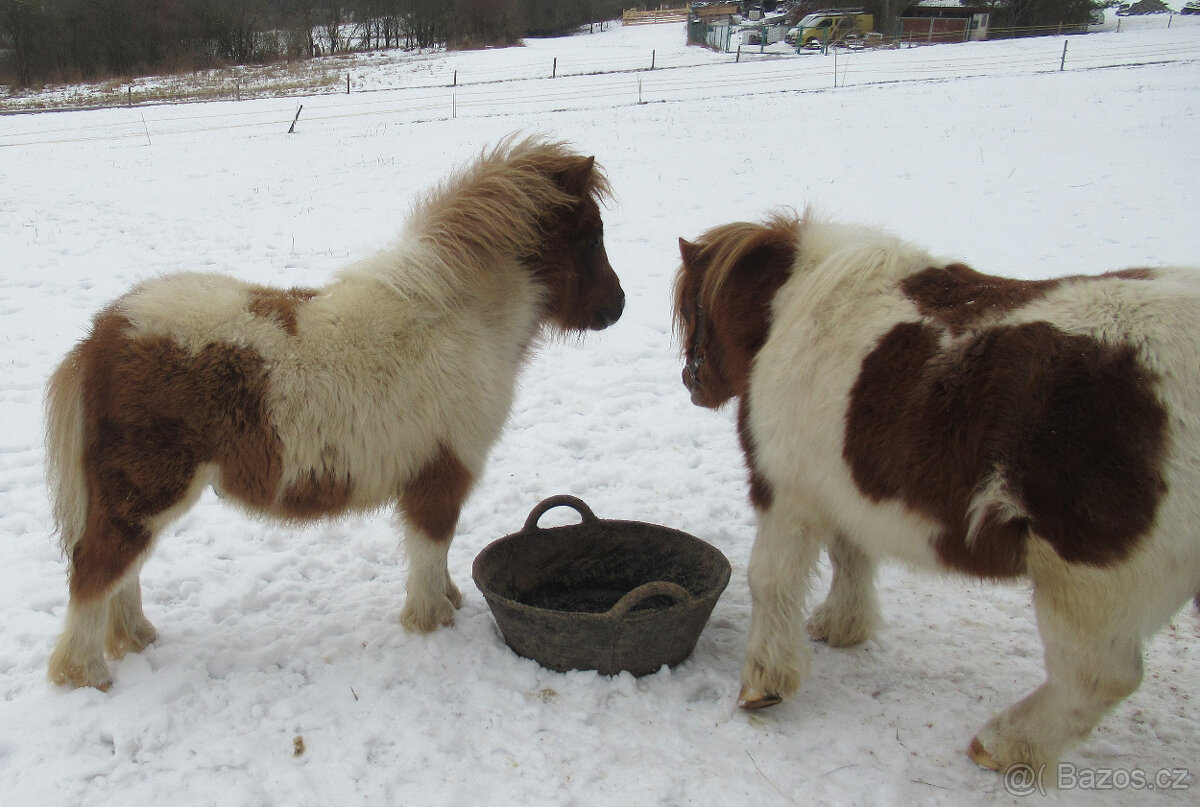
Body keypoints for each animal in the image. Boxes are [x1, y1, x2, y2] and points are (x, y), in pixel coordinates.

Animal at [44, 135, 625, 691]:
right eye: (592, 235)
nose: (616, 307)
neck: (465, 320)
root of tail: (103, 334)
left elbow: (436, 556)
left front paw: (450, 599)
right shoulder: (442, 475)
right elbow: (431, 549)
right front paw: (432, 620)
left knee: (121, 572)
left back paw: (135, 638)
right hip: (146, 493)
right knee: (97, 567)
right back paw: (86, 673)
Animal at [673, 209, 1200, 771]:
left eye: (694, 310)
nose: (691, 380)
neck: (797, 309)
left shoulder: (787, 493)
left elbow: (771, 581)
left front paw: (764, 684)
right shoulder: (840, 487)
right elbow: (849, 555)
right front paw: (843, 625)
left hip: (1088, 581)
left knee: (1098, 678)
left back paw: (1003, 743)